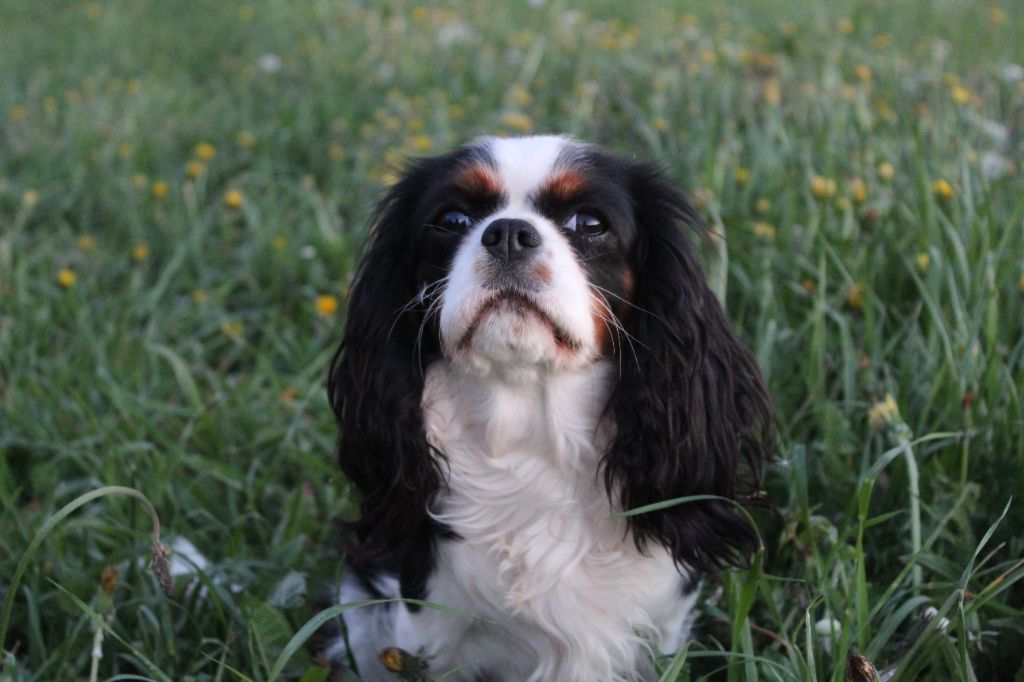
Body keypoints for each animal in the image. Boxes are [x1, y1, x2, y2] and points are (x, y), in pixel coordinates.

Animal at [325, 135, 770, 675]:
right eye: (452, 219)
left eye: (590, 223)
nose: (509, 233)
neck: (532, 435)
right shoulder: (429, 633)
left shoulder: (660, 629)